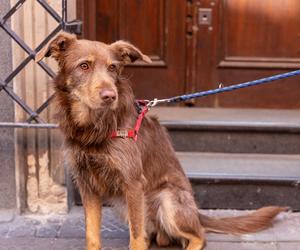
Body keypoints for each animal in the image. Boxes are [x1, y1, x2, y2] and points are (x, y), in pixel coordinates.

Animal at [36, 32, 288, 249]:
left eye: (112, 67)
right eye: (84, 66)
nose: (110, 96)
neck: (93, 126)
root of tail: (197, 213)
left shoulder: (133, 183)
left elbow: (136, 238)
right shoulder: (87, 184)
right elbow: (92, 235)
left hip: (167, 200)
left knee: (198, 235)